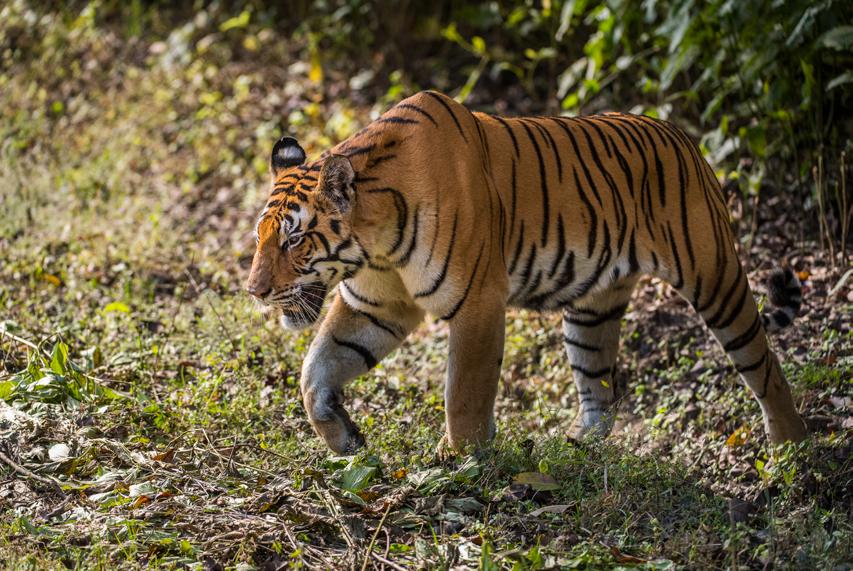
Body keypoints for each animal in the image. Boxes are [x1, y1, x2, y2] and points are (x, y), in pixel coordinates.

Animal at [245, 89, 804, 456]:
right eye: (260, 236)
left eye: (293, 239)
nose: (254, 290)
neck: (375, 244)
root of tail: (682, 136)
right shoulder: (376, 305)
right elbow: (315, 371)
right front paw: (344, 439)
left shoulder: (477, 302)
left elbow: (464, 395)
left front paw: (461, 463)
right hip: (591, 313)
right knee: (599, 389)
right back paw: (579, 447)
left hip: (714, 278)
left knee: (763, 364)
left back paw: (791, 452)